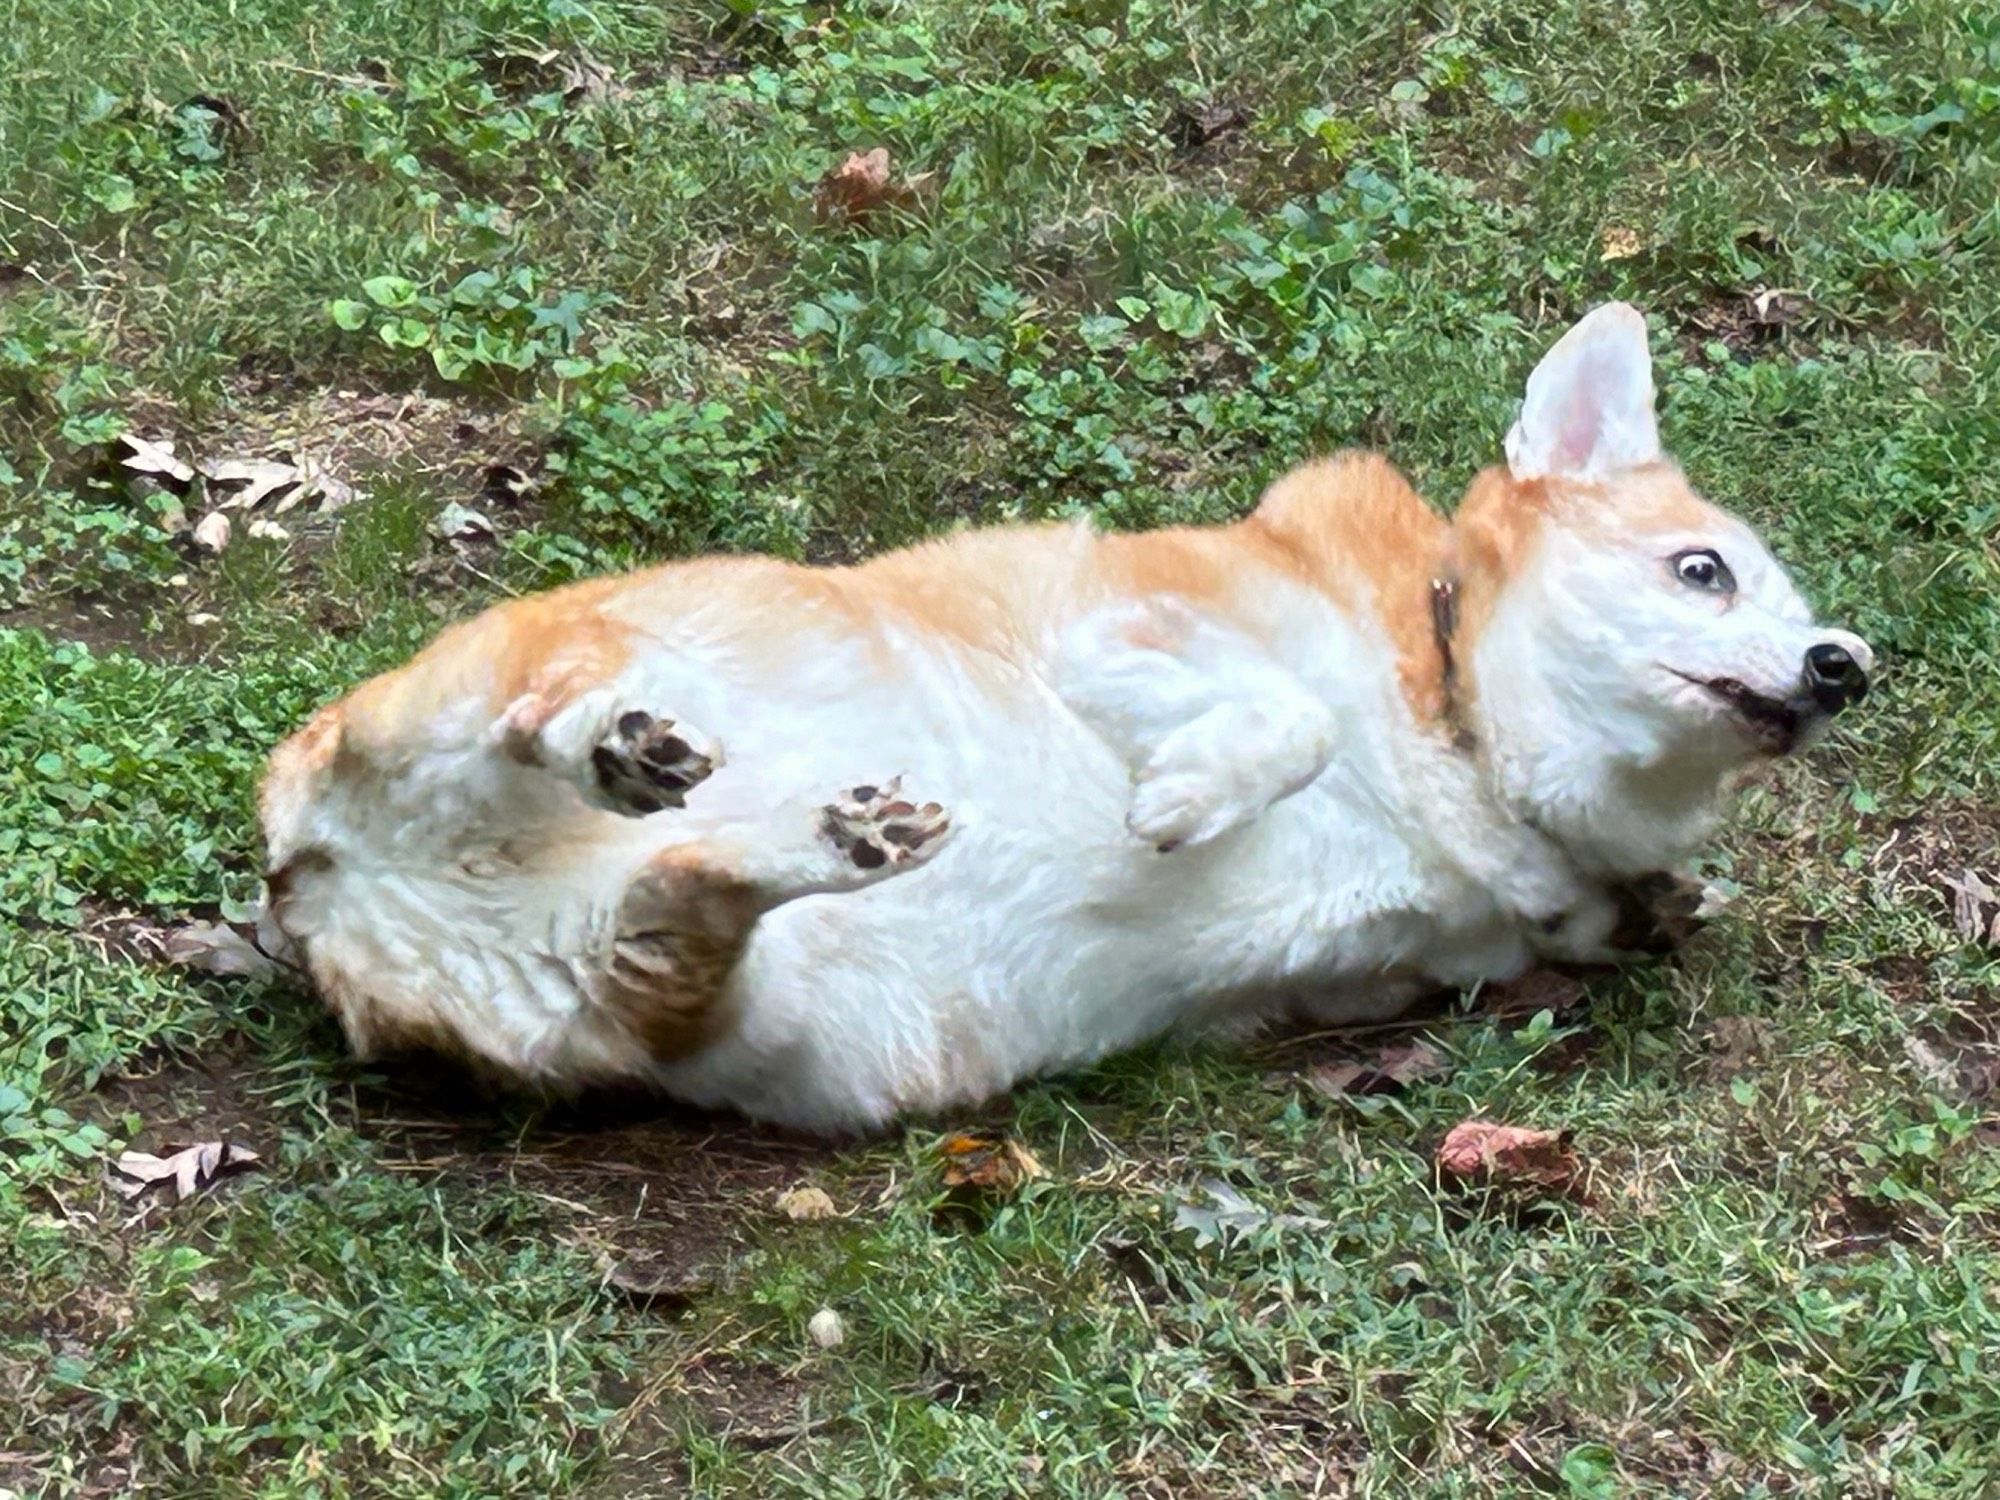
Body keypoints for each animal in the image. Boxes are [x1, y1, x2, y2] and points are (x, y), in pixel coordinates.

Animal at [266, 302, 1872, 1128]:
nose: (1843, 665)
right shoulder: (1126, 633)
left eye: (1807, 612)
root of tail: (317, 884)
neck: (1457, 704)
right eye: (1703, 570)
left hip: (692, 987)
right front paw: (1186, 799)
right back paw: (620, 743)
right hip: (535, 671)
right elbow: (1290, 721)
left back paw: (831, 838)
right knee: (531, 724)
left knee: (692, 889)